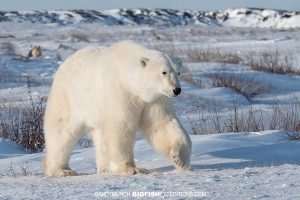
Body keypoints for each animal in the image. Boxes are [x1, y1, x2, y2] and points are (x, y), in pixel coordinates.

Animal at [43, 40, 191, 177]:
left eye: (178, 72)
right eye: (164, 72)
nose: (177, 90)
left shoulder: (154, 99)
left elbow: (161, 123)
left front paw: (179, 158)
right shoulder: (119, 91)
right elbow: (121, 126)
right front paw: (131, 169)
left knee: (101, 136)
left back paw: (104, 168)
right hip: (69, 97)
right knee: (62, 131)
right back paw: (62, 170)